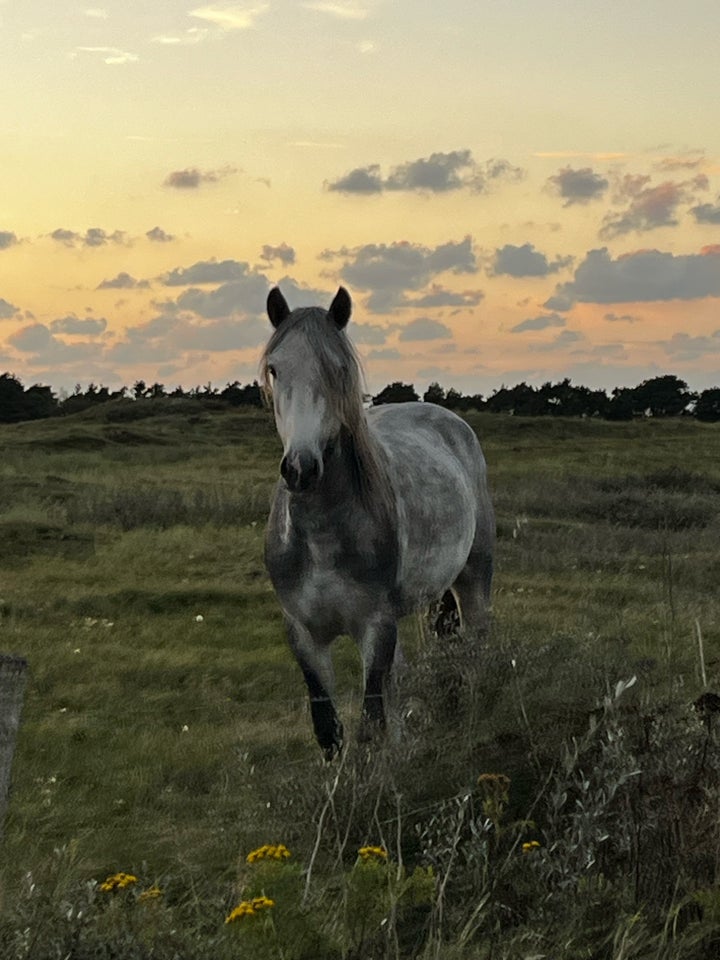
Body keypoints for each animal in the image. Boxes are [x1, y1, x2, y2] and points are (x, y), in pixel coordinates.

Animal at [262, 284, 496, 756]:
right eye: (275, 370)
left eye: (338, 370)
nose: (300, 468)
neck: (320, 537)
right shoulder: (303, 634)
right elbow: (330, 730)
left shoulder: (375, 625)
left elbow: (371, 724)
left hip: (473, 578)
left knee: (476, 647)